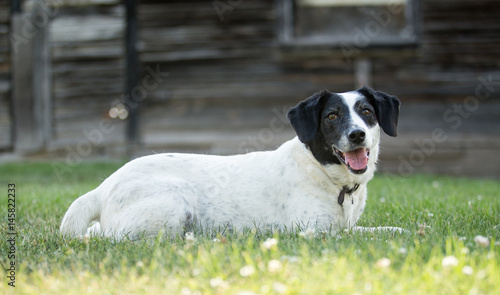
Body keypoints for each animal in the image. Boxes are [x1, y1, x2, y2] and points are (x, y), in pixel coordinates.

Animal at [59, 87, 402, 240]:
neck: (324, 174)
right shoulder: (311, 231)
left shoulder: (346, 224)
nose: (357, 134)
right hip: (177, 199)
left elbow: (383, 229)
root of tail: (103, 188)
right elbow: (359, 234)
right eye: (332, 116)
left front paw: (404, 230)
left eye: (366, 111)